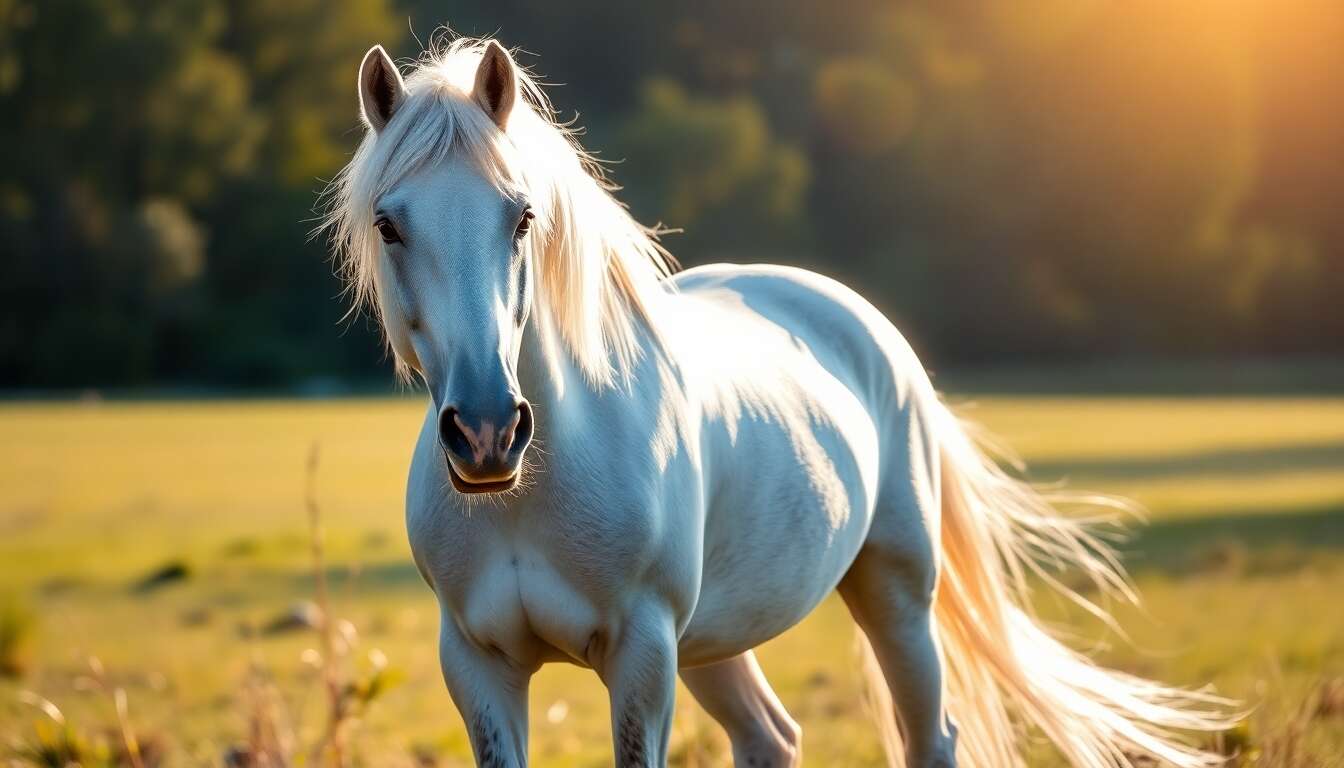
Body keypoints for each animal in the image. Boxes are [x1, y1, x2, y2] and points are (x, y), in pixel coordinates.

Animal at [321, 36, 1231, 768]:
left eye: (521, 217)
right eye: (389, 225)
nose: (485, 434)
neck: (532, 492)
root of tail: (857, 318)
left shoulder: (642, 656)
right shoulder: (479, 664)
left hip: (895, 596)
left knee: (929, 735)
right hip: (715, 639)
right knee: (771, 736)